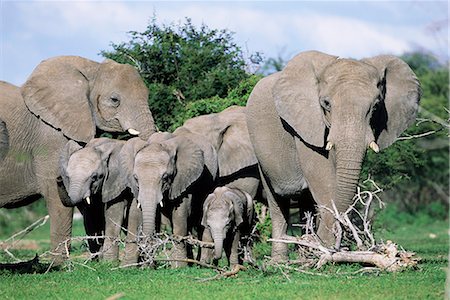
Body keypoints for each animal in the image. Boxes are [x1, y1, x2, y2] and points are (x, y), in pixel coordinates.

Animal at [0, 55, 156, 262]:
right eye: (114, 100)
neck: (92, 68)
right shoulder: (51, 137)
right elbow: (58, 194)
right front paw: (60, 266)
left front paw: (98, 261)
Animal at [118, 134, 212, 268]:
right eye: (135, 178)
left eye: (165, 177)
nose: (148, 264)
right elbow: (134, 214)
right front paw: (129, 266)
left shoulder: (183, 177)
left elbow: (180, 213)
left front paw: (178, 266)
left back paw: (200, 264)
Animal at [244, 50, 420, 262]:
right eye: (326, 104)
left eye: (376, 106)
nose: (335, 245)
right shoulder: (305, 124)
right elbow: (322, 177)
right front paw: (326, 249)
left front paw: (322, 249)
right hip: (260, 150)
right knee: (277, 202)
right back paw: (281, 260)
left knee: (306, 203)